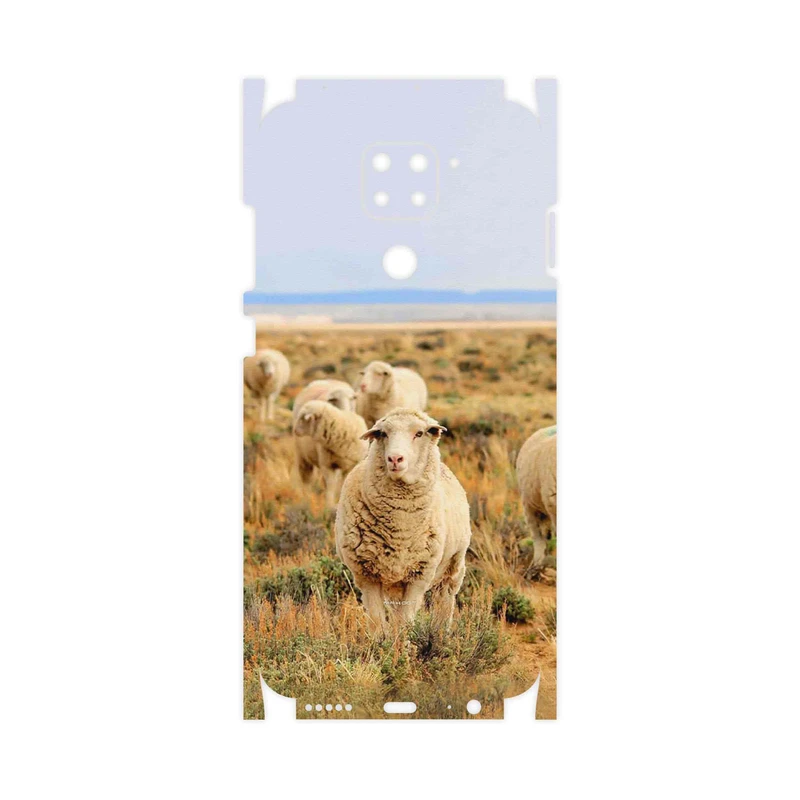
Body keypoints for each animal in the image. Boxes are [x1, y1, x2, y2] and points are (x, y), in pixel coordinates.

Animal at [335, 408, 471, 633]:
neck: (400, 527)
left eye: (419, 433)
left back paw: (441, 632)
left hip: (453, 566)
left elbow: (405, 621)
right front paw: (382, 641)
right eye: (383, 433)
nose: (395, 458)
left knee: (444, 599)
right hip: (394, 582)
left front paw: (404, 641)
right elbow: (377, 622)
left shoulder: (419, 575)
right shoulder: (366, 575)